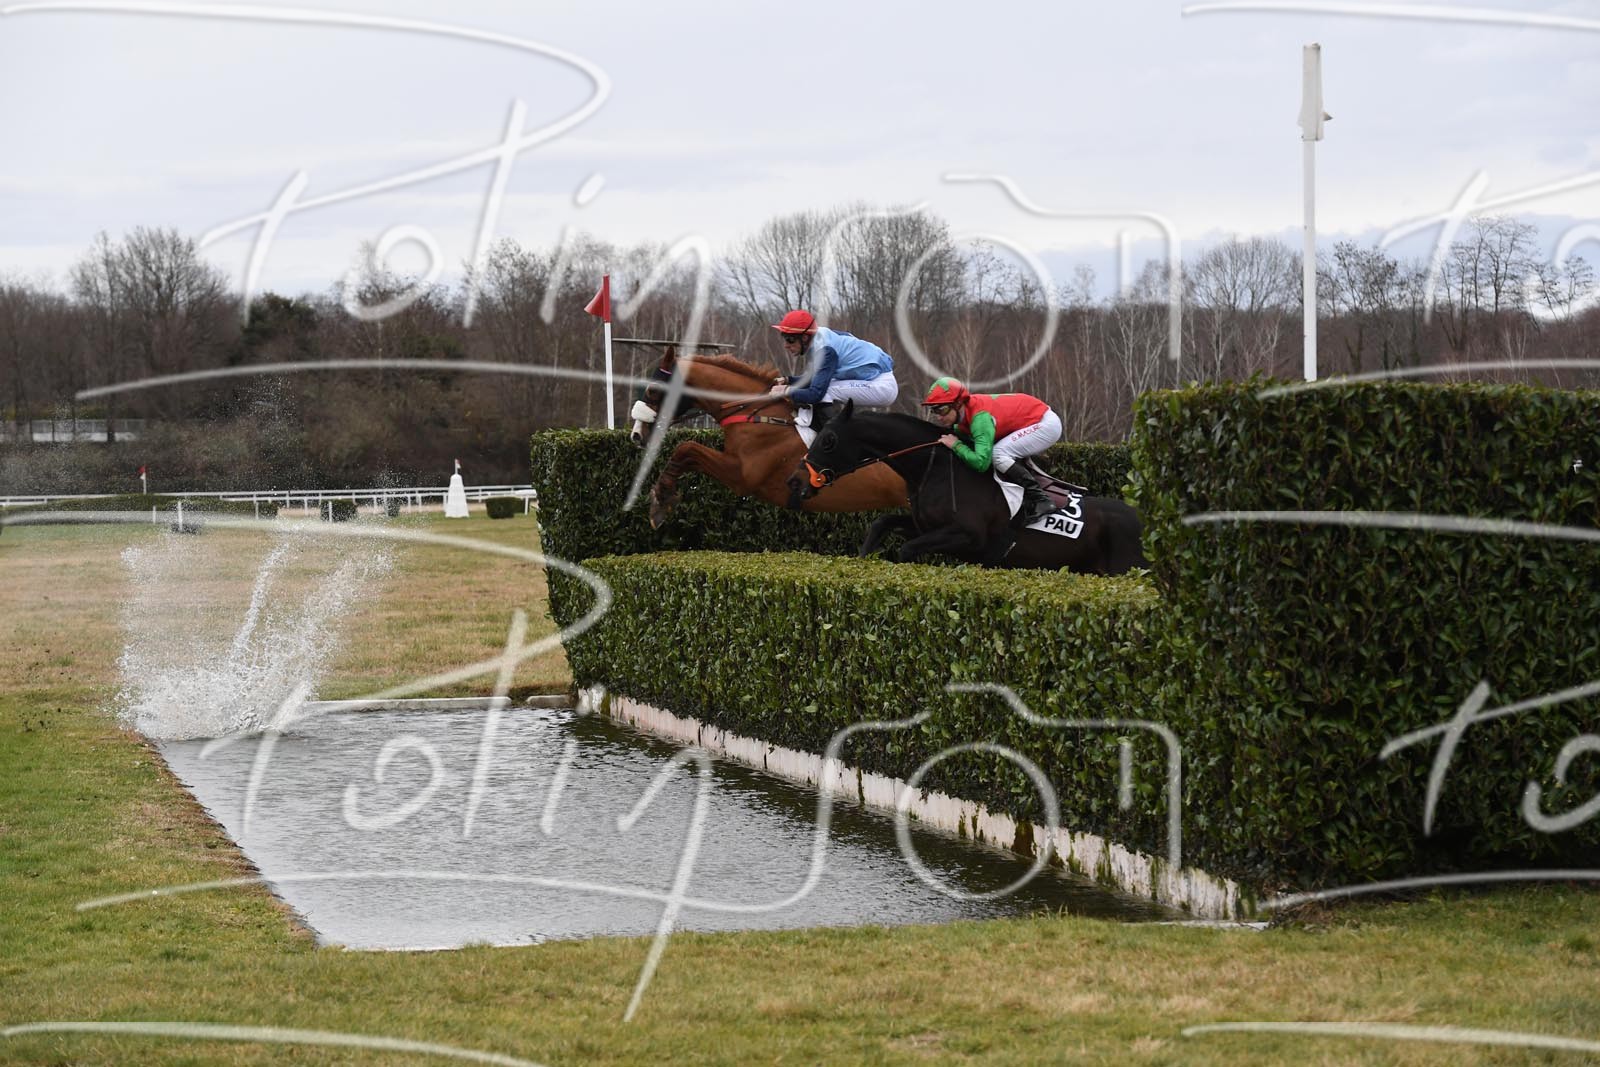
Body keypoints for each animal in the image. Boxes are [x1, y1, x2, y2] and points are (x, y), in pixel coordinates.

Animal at [630, 349, 909, 528]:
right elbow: (687, 452)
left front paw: (660, 502)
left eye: (652, 390)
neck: (755, 412)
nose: (636, 435)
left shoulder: (742, 476)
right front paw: (662, 498)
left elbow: (686, 447)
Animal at [793, 402, 1148, 574]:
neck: (934, 468)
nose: (797, 482)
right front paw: (864, 558)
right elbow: (882, 522)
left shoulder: (968, 536)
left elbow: (907, 550)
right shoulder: (924, 524)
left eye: (828, 440)